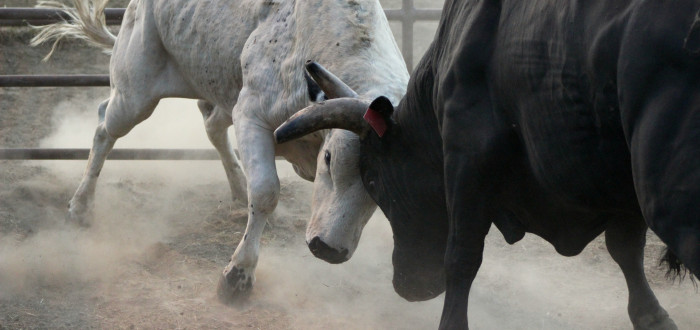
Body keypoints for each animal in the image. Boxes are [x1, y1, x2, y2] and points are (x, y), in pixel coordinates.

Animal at [34, 0, 410, 300]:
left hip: (218, 91)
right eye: (329, 159)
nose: (328, 249)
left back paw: (237, 188)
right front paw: (237, 276)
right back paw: (81, 207)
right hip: (134, 94)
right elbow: (266, 192)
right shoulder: (252, 116)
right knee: (103, 129)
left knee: (212, 126)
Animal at [274, 0, 700, 328]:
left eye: (373, 182)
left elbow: (462, 255)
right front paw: (652, 316)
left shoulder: (468, 157)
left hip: (668, 196)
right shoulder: (618, 179)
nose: (408, 285)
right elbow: (625, 248)